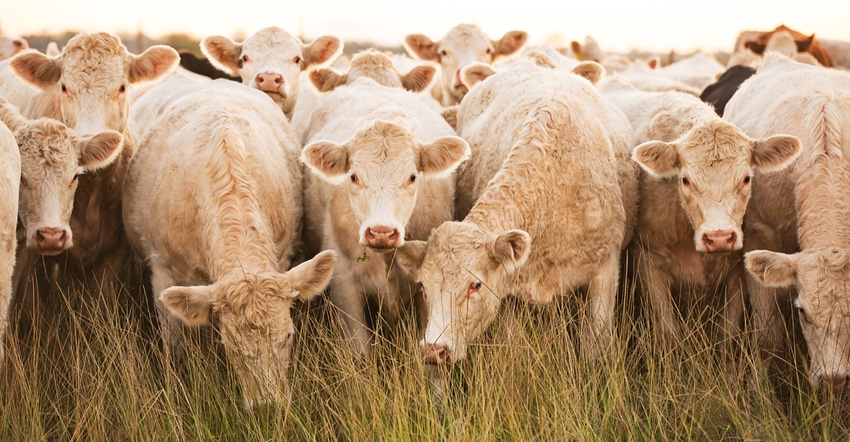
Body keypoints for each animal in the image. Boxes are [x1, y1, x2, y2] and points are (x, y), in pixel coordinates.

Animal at [398, 57, 636, 364]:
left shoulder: (605, 272)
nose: (434, 349)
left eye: (476, 285)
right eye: (423, 285)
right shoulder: (509, 292)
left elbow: (596, 347)